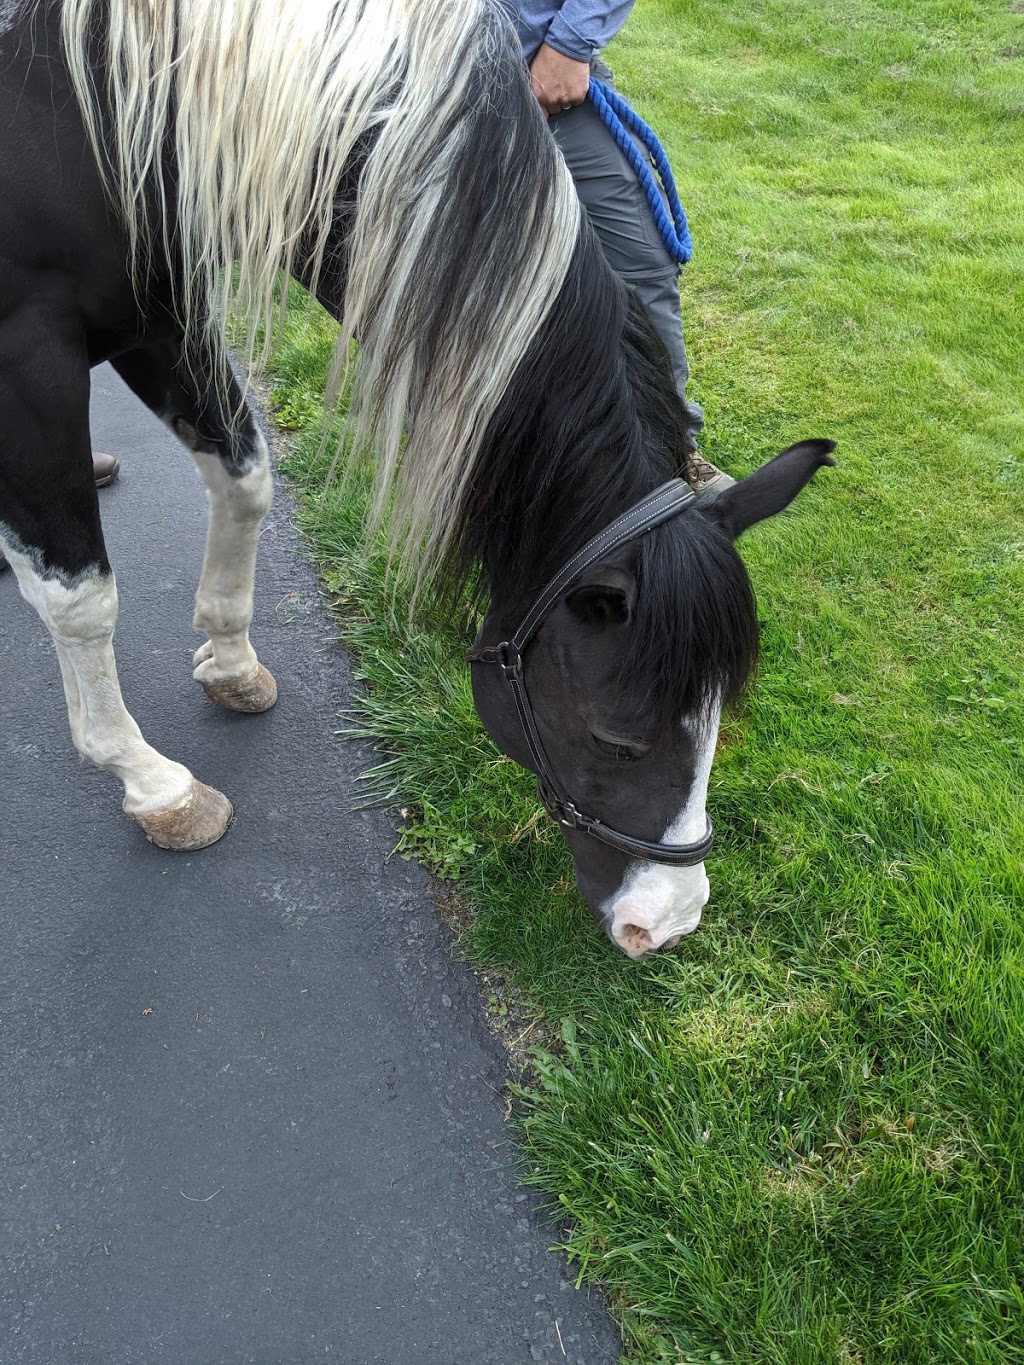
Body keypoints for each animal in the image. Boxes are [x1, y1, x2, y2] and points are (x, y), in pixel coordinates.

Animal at [0, 0, 835, 960]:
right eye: (619, 740)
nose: (666, 921)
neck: (107, 93)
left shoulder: (162, 311)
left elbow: (246, 479)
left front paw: (231, 660)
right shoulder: (30, 354)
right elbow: (80, 597)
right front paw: (153, 784)